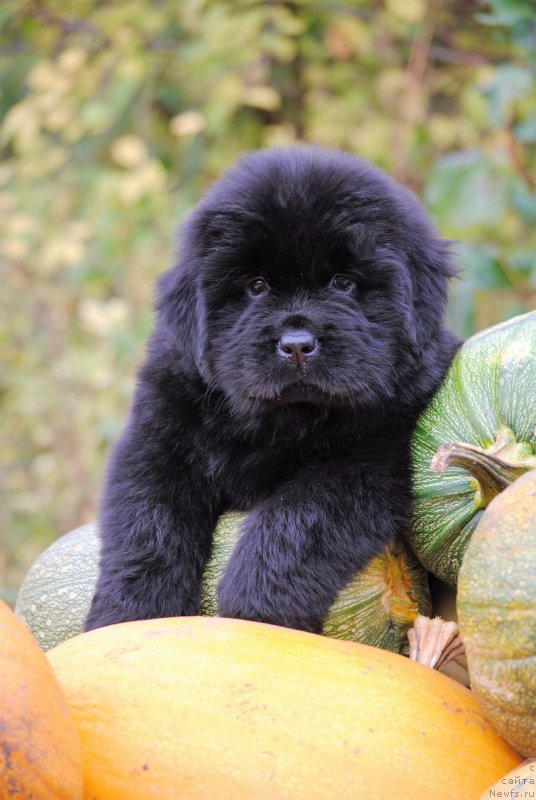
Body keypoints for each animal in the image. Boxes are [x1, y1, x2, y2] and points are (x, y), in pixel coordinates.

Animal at [85, 142, 460, 632]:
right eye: (257, 286)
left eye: (343, 282)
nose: (297, 345)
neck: (277, 421)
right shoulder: (156, 440)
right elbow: (148, 525)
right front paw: (129, 616)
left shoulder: (366, 458)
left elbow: (297, 517)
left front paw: (259, 608)